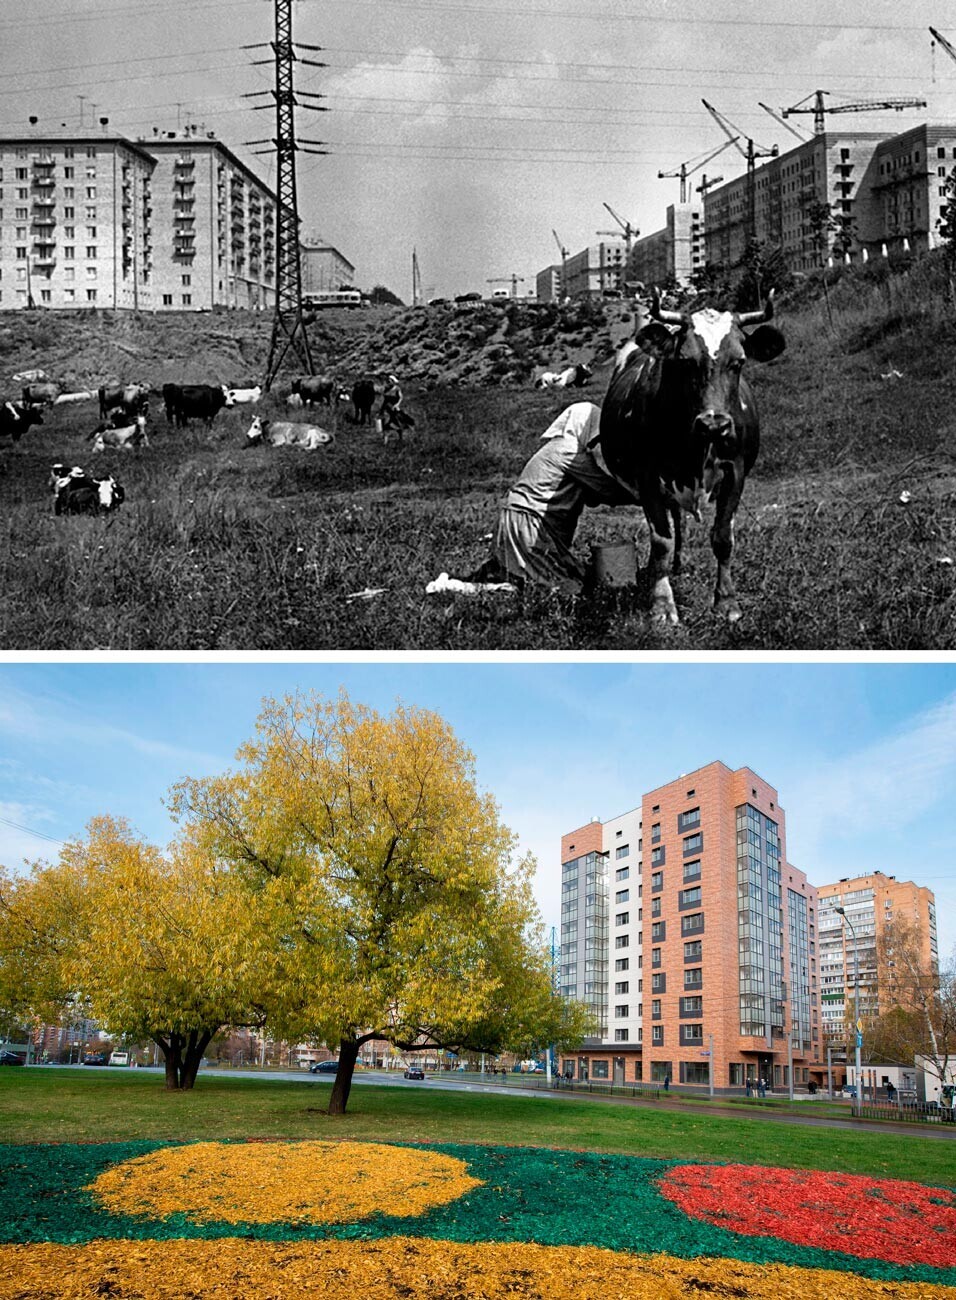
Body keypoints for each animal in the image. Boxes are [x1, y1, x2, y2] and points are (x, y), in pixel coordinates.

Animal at [598, 291, 785, 624]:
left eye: (739, 361)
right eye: (685, 361)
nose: (714, 424)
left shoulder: (735, 472)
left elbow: (723, 537)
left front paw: (726, 602)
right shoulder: (647, 476)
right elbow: (662, 540)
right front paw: (662, 605)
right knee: (673, 524)